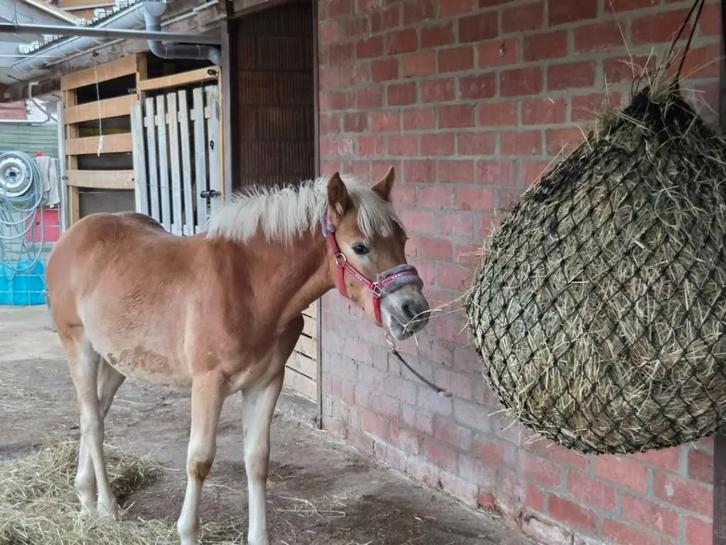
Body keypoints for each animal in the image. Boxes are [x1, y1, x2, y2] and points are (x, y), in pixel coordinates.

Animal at [45, 168, 429, 545]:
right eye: (360, 246)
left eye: (403, 239)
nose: (414, 311)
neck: (250, 289)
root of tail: (71, 238)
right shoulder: (208, 384)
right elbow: (199, 460)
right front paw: (188, 532)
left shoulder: (266, 382)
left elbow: (257, 460)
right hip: (78, 345)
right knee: (92, 420)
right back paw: (105, 507)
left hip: (115, 360)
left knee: (96, 411)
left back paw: (86, 495)